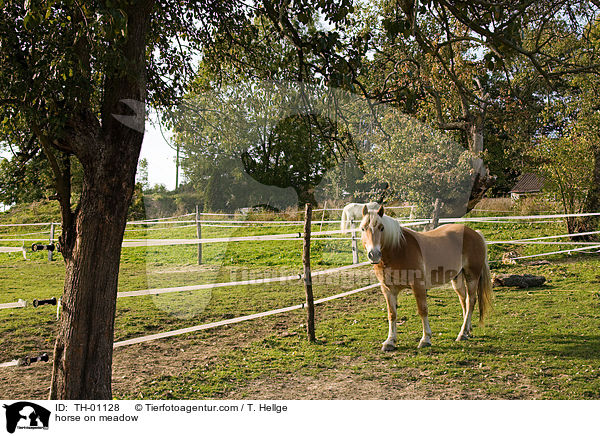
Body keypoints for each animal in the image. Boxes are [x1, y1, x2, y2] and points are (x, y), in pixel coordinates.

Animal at [360, 204, 492, 350]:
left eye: (381, 228)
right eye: (363, 228)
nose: (374, 254)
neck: (398, 250)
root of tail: (476, 234)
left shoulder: (418, 285)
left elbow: (422, 310)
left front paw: (425, 339)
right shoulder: (388, 289)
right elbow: (392, 314)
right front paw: (390, 341)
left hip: (472, 277)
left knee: (471, 301)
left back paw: (462, 333)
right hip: (457, 278)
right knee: (464, 301)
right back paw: (467, 330)